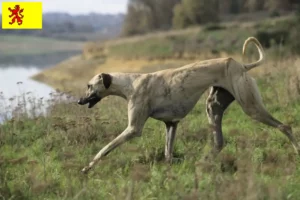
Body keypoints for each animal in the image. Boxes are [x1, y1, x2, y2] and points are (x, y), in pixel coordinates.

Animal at [78, 37, 300, 173]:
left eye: (89, 86)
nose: (79, 101)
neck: (131, 83)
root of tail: (241, 65)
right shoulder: (171, 124)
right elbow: (168, 154)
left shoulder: (133, 129)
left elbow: (105, 149)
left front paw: (87, 167)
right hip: (213, 107)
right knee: (219, 142)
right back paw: (203, 163)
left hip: (251, 107)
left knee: (284, 126)